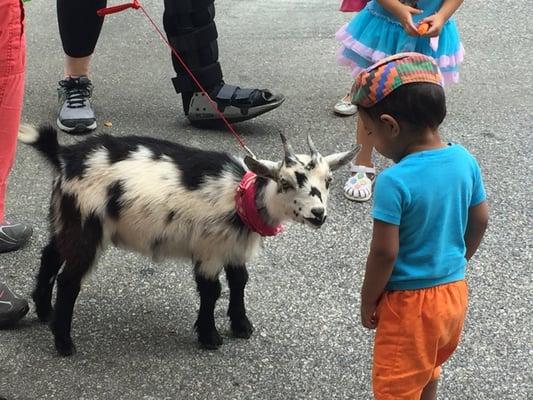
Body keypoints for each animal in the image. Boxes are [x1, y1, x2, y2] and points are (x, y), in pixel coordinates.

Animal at [18, 125, 360, 356]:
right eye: (286, 183)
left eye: (328, 181)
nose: (318, 214)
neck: (242, 196)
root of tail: (67, 156)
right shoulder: (209, 250)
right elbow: (212, 290)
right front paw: (209, 337)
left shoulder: (233, 247)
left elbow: (240, 282)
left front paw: (241, 326)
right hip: (85, 225)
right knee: (69, 280)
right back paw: (64, 342)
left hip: (66, 219)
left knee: (50, 254)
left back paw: (45, 311)